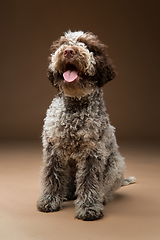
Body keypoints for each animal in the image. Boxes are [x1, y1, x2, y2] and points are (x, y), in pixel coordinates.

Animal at [37, 30, 136, 221]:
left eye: (88, 46)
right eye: (63, 43)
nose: (69, 51)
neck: (75, 107)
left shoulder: (93, 152)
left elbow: (89, 181)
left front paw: (89, 207)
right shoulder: (53, 148)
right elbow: (52, 176)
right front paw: (49, 200)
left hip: (116, 165)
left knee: (104, 189)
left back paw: (101, 198)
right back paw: (67, 193)